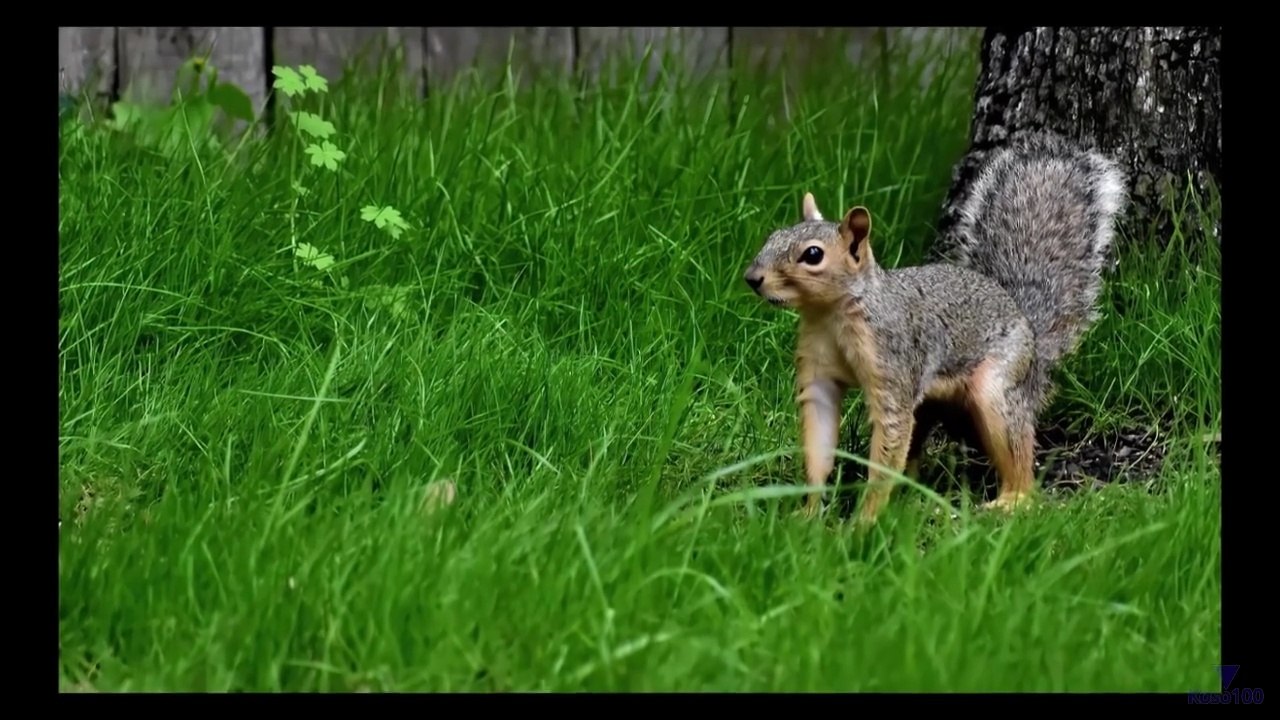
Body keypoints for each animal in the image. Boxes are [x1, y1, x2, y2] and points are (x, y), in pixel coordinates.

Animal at [743, 130, 1128, 524]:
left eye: (813, 255)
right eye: (773, 236)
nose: (752, 278)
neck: (831, 316)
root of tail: (1031, 334)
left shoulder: (893, 363)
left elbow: (889, 438)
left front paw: (864, 522)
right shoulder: (818, 370)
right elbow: (819, 437)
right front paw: (808, 512)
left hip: (999, 384)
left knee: (1017, 450)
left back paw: (1011, 499)